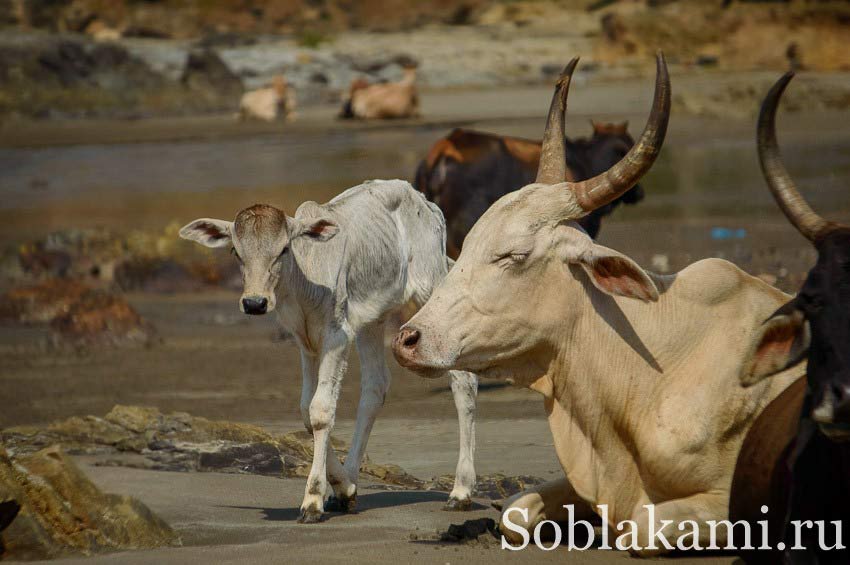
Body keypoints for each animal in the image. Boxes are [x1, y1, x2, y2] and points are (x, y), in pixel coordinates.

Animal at [179, 181, 476, 520]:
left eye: (283, 249)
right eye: (235, 252)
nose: (255, 302)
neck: (306, 274)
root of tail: (424, 201)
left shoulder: (337, 337)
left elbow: (321, 412)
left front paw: (312, 500)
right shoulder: (305, 343)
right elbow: (306, 412)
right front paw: (343, 487)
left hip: (431, 290)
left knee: (462, 378)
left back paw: (461, 491)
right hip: (373, 319)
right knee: (375, 386)